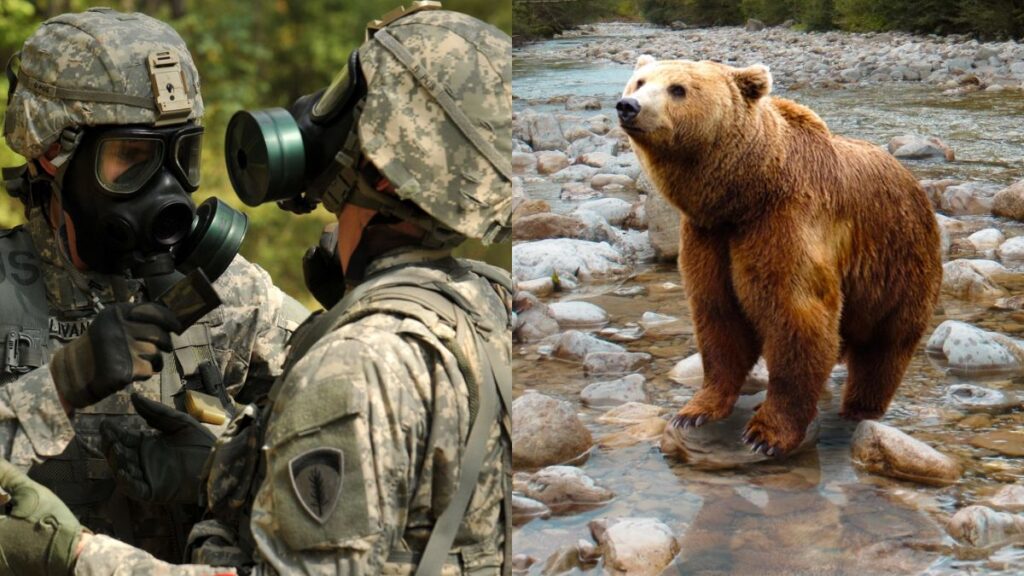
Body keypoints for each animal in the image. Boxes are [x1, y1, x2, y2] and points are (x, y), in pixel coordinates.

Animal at [617, 56, 942, 456]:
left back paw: (860, 407)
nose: (628, 106)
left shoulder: (784, 223)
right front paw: (695, 411)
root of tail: (914, 182)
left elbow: (796, 317)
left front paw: (766, 433)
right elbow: (718, 317)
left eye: (678, 88)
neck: (745, 194)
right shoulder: (709, 237)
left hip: (898, 263)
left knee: (884, 348)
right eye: (640, 81)